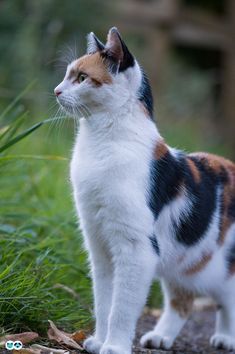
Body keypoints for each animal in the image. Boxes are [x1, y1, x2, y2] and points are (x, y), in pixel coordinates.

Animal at [54, 28, 235, 354]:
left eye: (82, 77)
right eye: (67, 75)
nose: (56, 91)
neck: (102, 142)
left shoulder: (136, 248)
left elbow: (122, 306)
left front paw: (114, 346)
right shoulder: (99, 245)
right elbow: (104, 301)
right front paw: (99, 341)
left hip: (216, 266)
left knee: (227, 297)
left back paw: (226, 337)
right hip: (184, 262)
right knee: (183, 301)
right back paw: (160, 337)